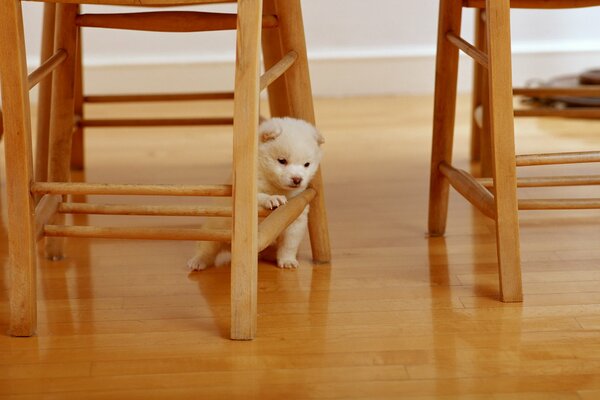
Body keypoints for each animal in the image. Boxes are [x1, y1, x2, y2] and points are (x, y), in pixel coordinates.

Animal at [190, 117, 326, 270]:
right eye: (282, 161)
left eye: (307, 164)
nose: (297, 179)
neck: (275, 185)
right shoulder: (247, 191)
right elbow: (259, 196)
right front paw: (272, 199)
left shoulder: (296, 219)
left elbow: (289, 245)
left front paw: (287, 260)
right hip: (213, 231)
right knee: (206, 249)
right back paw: (198, 261)